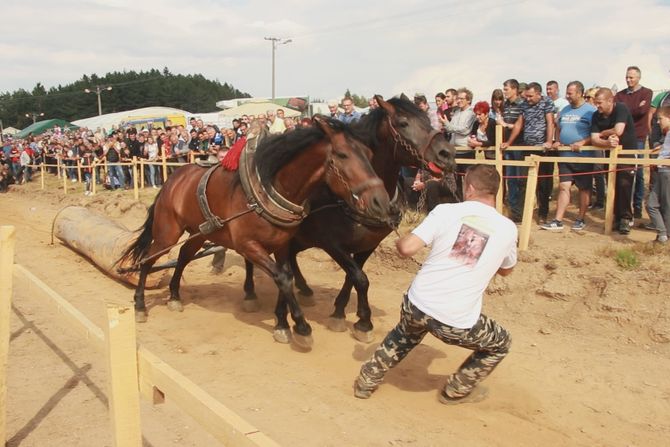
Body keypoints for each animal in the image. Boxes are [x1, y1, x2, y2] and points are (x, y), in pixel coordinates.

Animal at [119, 117, 392, 348]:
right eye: (343, 155)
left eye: (370, 154)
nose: (380, 201)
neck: (271, 187)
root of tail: (173, 178)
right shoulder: (248, 245)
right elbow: (282, 279)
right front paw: (301, 326)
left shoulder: (282, 245)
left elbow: (286, 276)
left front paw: (282, 324)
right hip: (168, 231)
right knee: (149, 260)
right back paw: (140, 304)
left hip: (200, 233)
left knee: (184, 255)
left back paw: (175, 295)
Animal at [244, 94, 460, 344]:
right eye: (403, 123)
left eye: (427, 118)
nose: (447, 154)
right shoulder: (331, 243)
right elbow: (360, 277)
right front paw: (363, 321)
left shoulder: (368, 244)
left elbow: (354, 276)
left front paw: (342, 312)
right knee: (251, 258)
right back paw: (250, 293)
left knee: (291, 257)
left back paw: (304, 289)